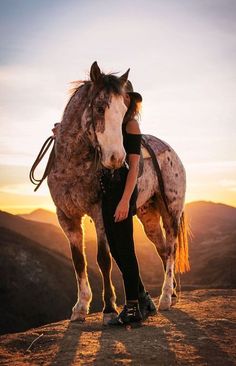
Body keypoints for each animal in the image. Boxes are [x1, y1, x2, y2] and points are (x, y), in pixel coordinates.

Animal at [46, 61, 190, 324]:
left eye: (124, 112)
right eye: (100, 107)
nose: (116, 158)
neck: (72, 165)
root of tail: (171, 152)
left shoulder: (100, 214)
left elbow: (103, 259)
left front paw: (109, 309)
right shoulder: (66, 217)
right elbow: (78, 261)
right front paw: (80, 307)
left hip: (171, 212)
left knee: (172, 249)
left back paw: (165, 297)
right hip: (148, 216)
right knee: (163, 249)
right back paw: (170, 294)